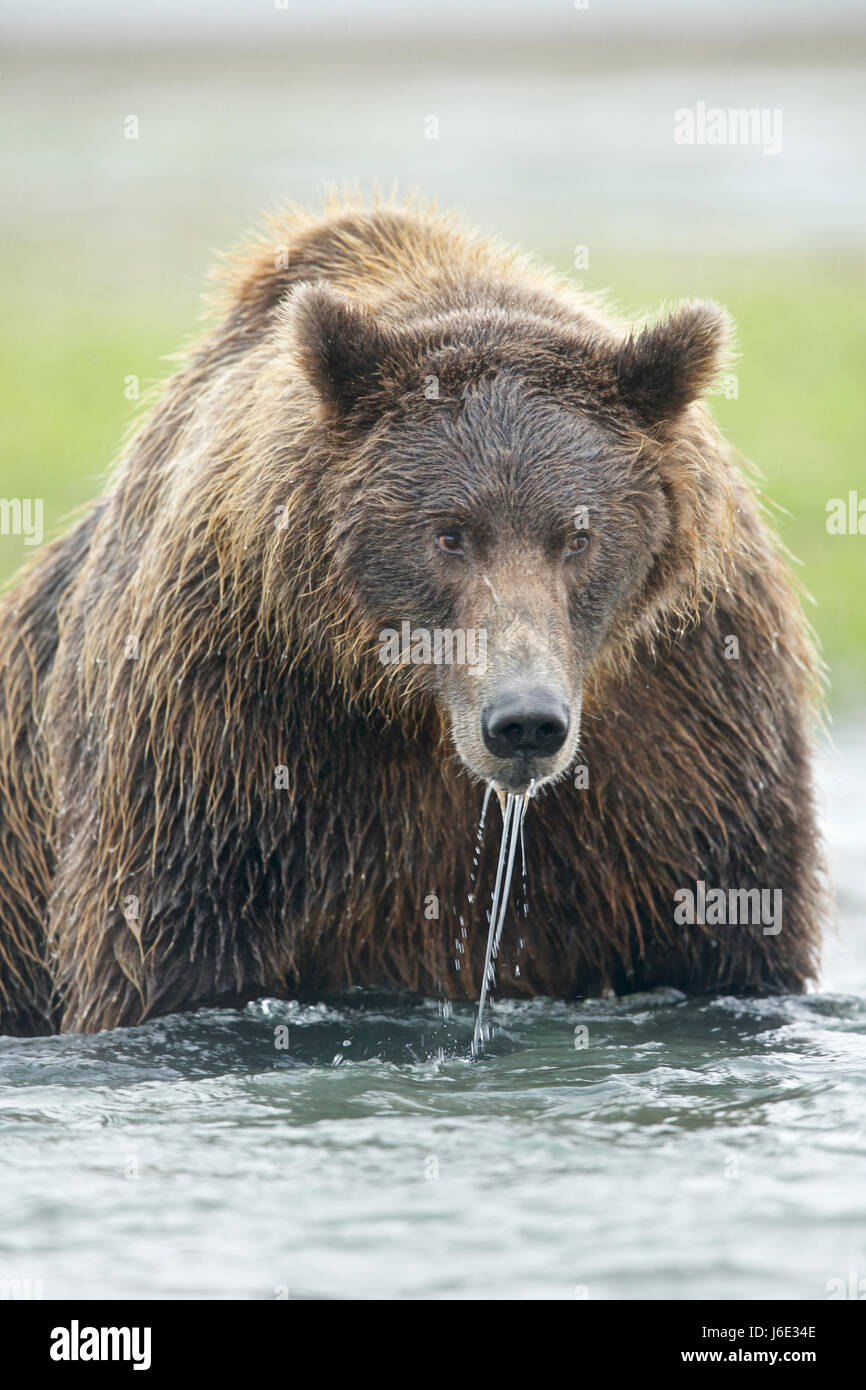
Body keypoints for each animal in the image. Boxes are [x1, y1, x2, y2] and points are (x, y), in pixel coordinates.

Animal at [0, 193, 828, 1034]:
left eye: (579, 535)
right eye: (448, 533)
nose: (524, 721)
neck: (415, 707)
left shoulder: (691, 706)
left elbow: (721, 929)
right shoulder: (222, 707)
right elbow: (170, 950)